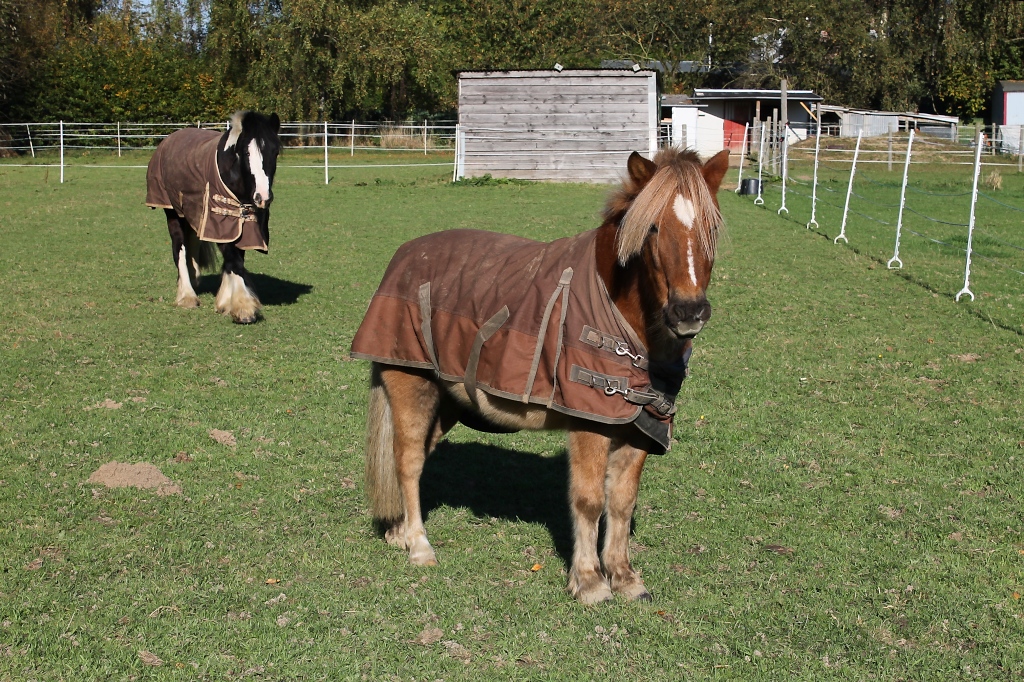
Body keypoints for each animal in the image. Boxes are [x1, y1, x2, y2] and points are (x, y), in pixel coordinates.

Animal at [144, 110, 280, 323]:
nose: (263, 197)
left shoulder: (241, 225)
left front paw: (225, 301)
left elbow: (236, 258)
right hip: (173, 214)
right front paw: (243, 308)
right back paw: (187, 296)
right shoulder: (221, 223)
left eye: (275, 151)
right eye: (247, 153)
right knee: (179, 248)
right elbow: (233, 260)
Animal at [352, 147, 729, 602]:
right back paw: (420, 546)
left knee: (417, 458)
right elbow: (588, 499)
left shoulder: (640, 428)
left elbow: (622, 502)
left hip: (446, 404)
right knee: (407, 463)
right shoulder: (589, 423)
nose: (689, 312)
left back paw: (400, 532)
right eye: (652, 227)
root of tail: (403, 258)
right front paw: (589, 581)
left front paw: (624, 578)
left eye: (712, 227)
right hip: (411, 387)